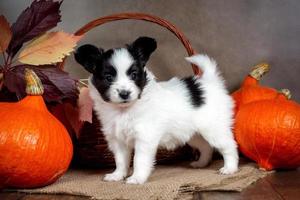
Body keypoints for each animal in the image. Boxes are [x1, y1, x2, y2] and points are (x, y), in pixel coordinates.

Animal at [75, 36, 239, 184]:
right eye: (108, 78)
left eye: (134, 75)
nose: (124, 93)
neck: (124, 110)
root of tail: (209, 81)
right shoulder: (118, 140)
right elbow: (120, 160)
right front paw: (117, 175)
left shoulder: (144, 138)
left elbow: (139, 160)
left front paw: (137, 178)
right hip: (193, 134)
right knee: (206, 147)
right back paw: (201, 163)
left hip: (214, 129)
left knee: (229, 146)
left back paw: (229, 168)